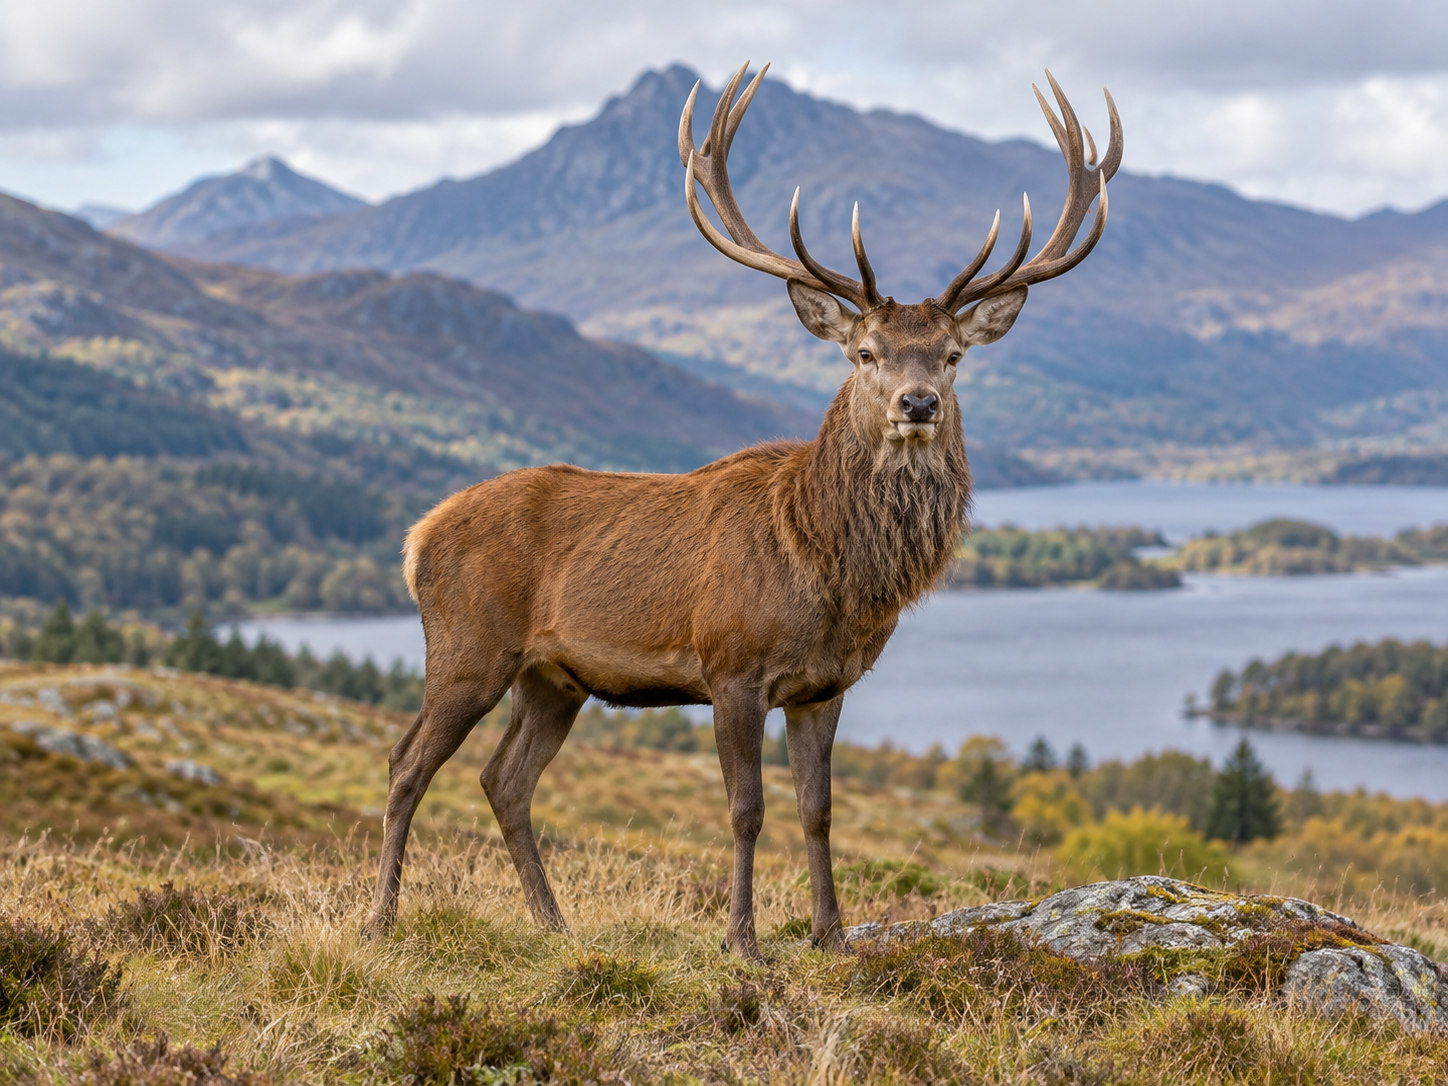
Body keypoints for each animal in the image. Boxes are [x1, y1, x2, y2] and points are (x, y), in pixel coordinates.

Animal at [364, 62, 1121, 958]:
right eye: (865, 352)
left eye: (953, 354)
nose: (918, 403)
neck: (830, 571)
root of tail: (418, 535)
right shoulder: (731, 668)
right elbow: (746, 811)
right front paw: (744, 941)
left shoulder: (826, 686)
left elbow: (818, 811)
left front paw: (833, 936)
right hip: (467, 646)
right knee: (407, 763)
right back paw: (381, 919)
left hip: (554, 678)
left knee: (503, 779)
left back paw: (556, 925)